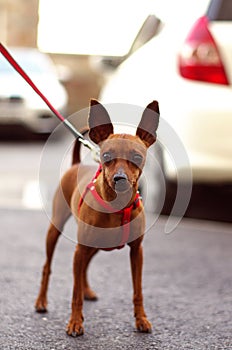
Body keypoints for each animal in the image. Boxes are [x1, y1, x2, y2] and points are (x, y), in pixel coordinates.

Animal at [35, 98, 160, 336]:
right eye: (106, 157)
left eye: (137, 157)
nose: (120, 179)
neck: (117, 206)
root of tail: (76, 164)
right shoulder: (80, 248)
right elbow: (73, 293)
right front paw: (75, 322)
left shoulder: (137, 252)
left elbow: (137, 290)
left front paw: (141, 319)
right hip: (55, 230)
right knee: (48, 266)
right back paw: (41, 302)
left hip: (96, 245)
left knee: (84, 267)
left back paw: (87, 291)